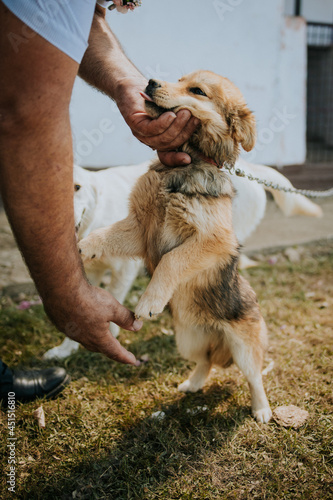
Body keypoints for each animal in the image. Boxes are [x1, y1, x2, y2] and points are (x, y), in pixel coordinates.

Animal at [42, 158, 320, 358]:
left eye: (77, 187)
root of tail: (248, 168)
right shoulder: (90, 272)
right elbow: (79, 309)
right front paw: (66, 348)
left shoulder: (125, 270)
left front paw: (111, 332)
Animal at [79, 70, 272, 422]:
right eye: (181, 79)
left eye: (197, 90)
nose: (150, 82)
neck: (185, 163)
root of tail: (215, 331)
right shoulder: (140, 228)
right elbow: (105, 232)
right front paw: (84, 246)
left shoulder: (214, 240)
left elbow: (172, 260)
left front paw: (149, 300)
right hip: (189, 340)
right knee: (206, 361)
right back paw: (192, 385)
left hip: (244, 347)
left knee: (253, 376)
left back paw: (262, 409)